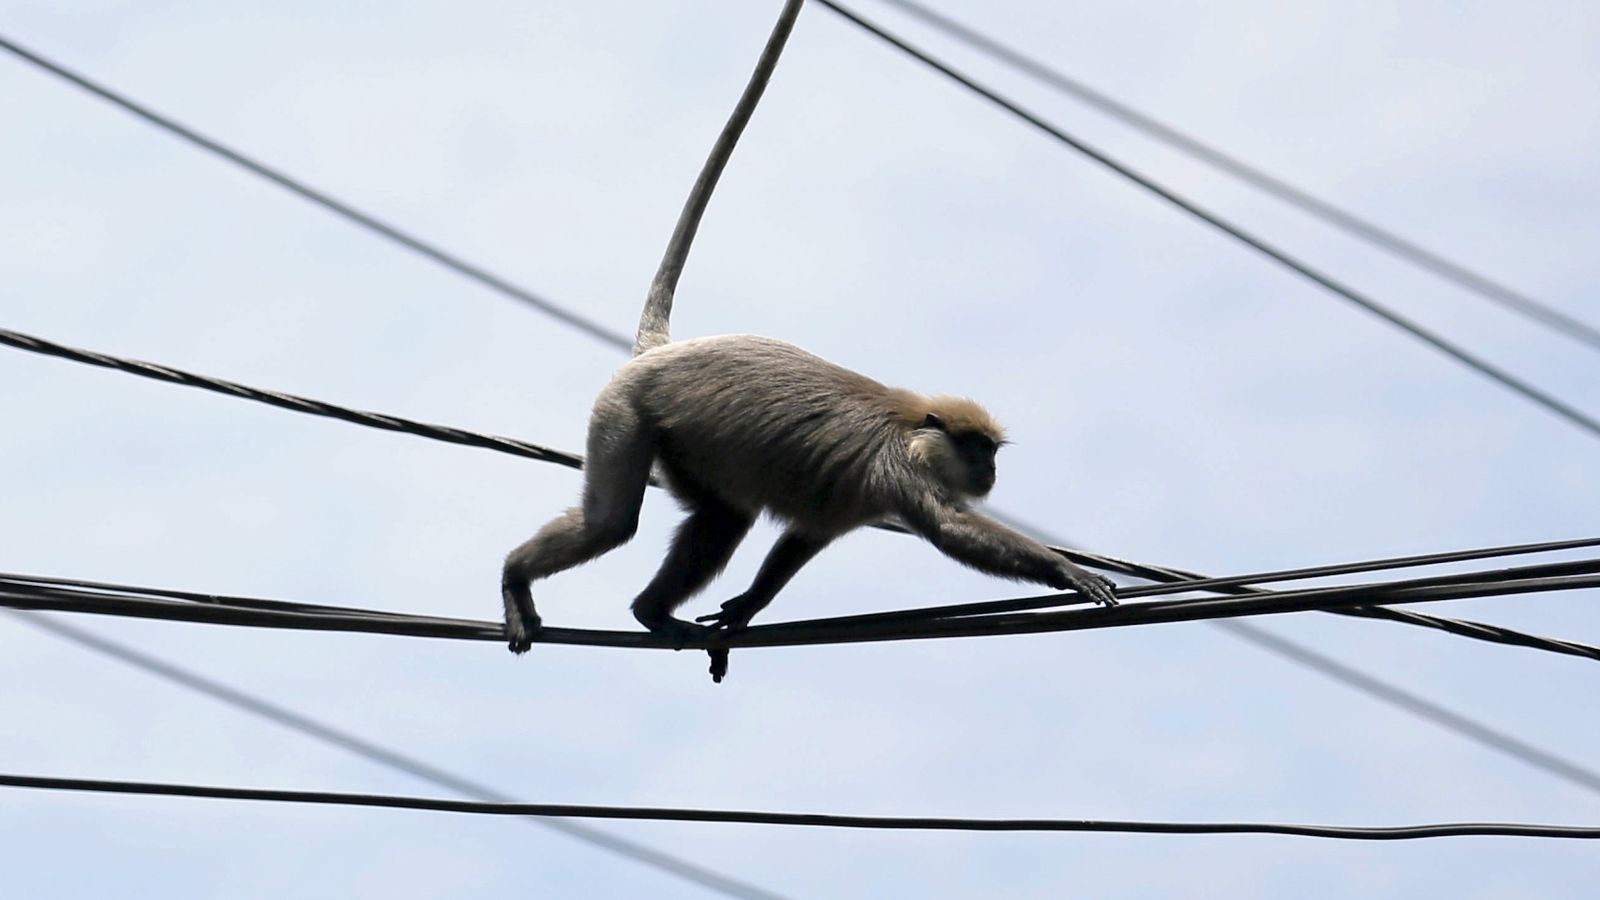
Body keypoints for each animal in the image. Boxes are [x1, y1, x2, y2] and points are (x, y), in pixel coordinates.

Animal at [496, 0, 1113, 662]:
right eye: (979, 450)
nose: (991, 472)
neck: (912, 430)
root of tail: (664, 350)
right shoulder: (897, 471)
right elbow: (950, 529)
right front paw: (1064, 571)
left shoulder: (854, 498)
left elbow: (804, 537)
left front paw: (745, 607)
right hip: (624, 409)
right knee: (613, 522)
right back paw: (517, 576)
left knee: (722, 519)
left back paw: (650, 612)